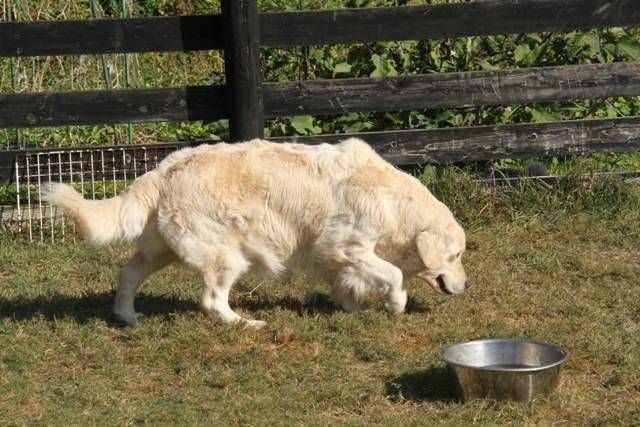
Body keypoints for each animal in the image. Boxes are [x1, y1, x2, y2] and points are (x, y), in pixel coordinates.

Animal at [42, 137, 468, 328]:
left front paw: (353, 308)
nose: (467, 286)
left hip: (161, 249)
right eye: (456, 255)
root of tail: (163, 170)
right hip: (226, 256)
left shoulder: (332, 255)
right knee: (212, 301)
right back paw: (244, 323)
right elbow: (393, 274)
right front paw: (396, 304)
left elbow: (346, 283)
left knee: (128, 273)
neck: (392, 198)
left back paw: (128, 316)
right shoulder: (346, 246)